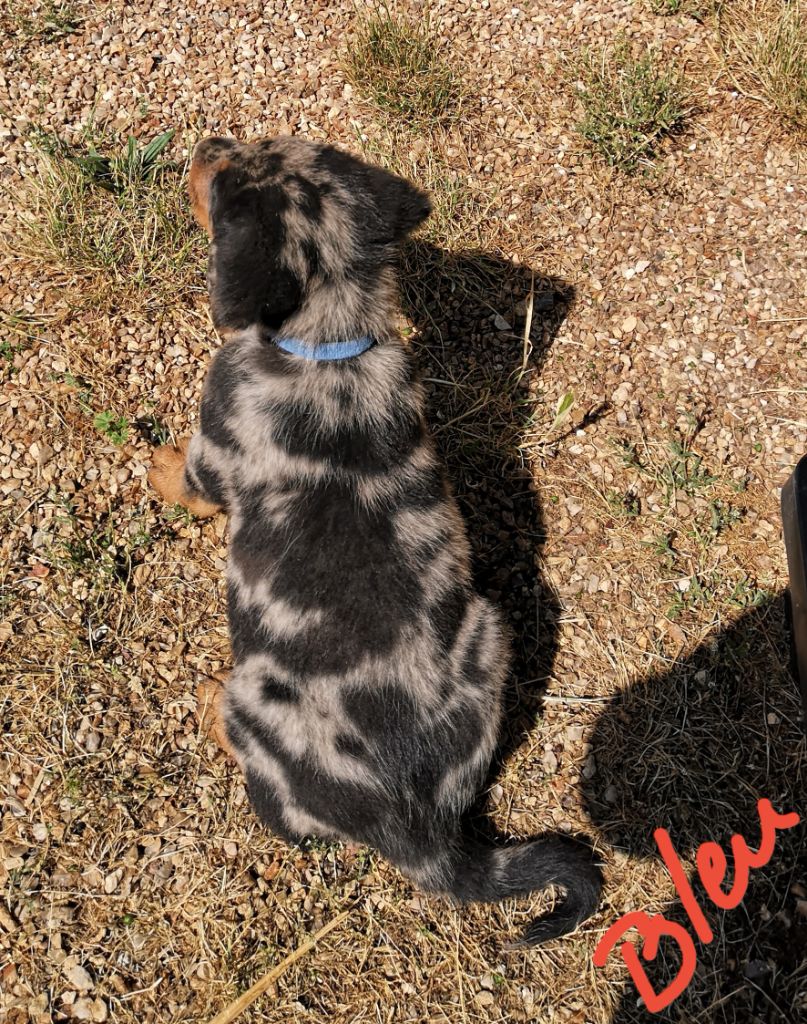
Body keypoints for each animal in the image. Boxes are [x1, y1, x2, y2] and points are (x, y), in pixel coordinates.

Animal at [149, 136, 601, 944]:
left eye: (226, 180)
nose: (206, 143)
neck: (329, 346)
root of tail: (420, 832)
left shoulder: (213, 450)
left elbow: (184, 481)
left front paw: (150, 466)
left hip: (257, 699)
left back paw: (206, 703)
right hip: (489, 627)